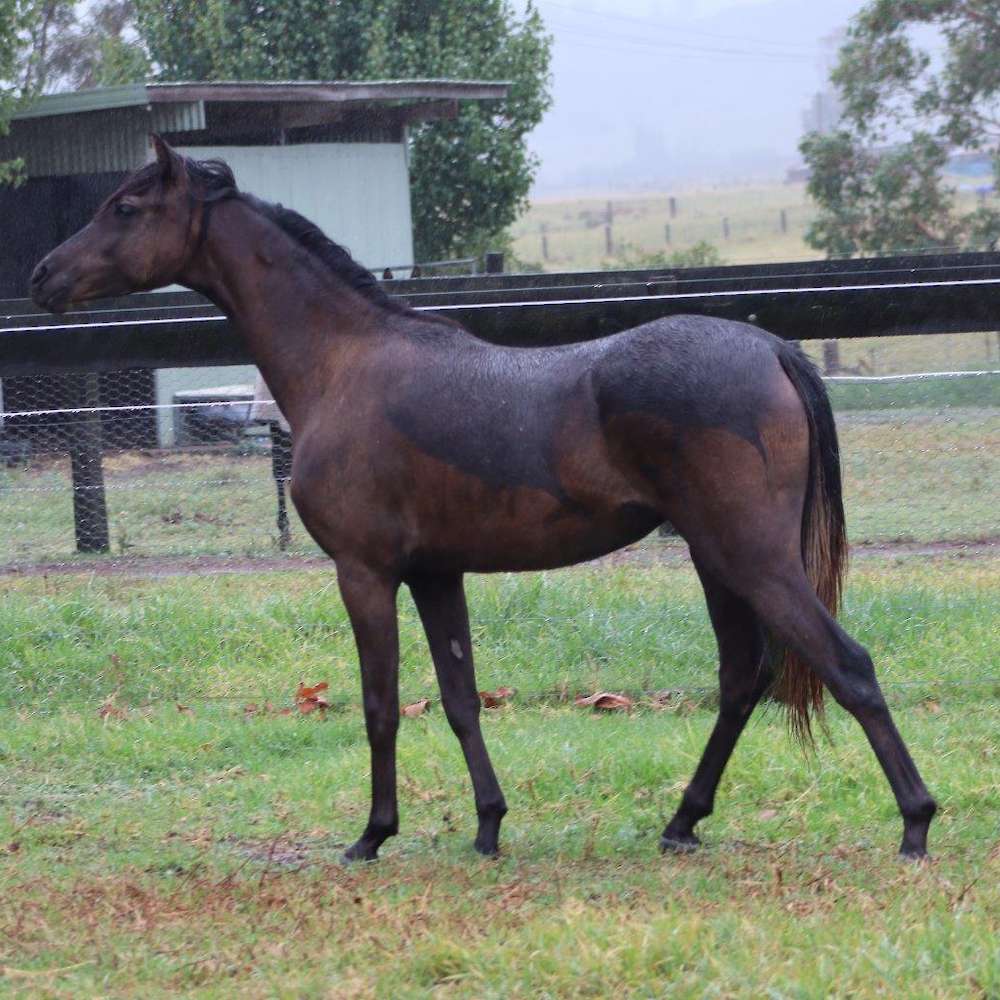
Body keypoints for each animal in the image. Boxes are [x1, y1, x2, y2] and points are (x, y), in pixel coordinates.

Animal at [31, 137, 936, 864]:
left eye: (125, 206)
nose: (43, 275)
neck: (345, 362)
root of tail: (773, 347)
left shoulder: (365, 574)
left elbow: (383, 705)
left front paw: (372, 835)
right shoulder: (436, 575)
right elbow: (461, 701)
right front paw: (490, 826)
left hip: (751, 557)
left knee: (847, 666)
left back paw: (915, 825)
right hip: (718, 561)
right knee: (743, 678)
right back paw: (683, 821)